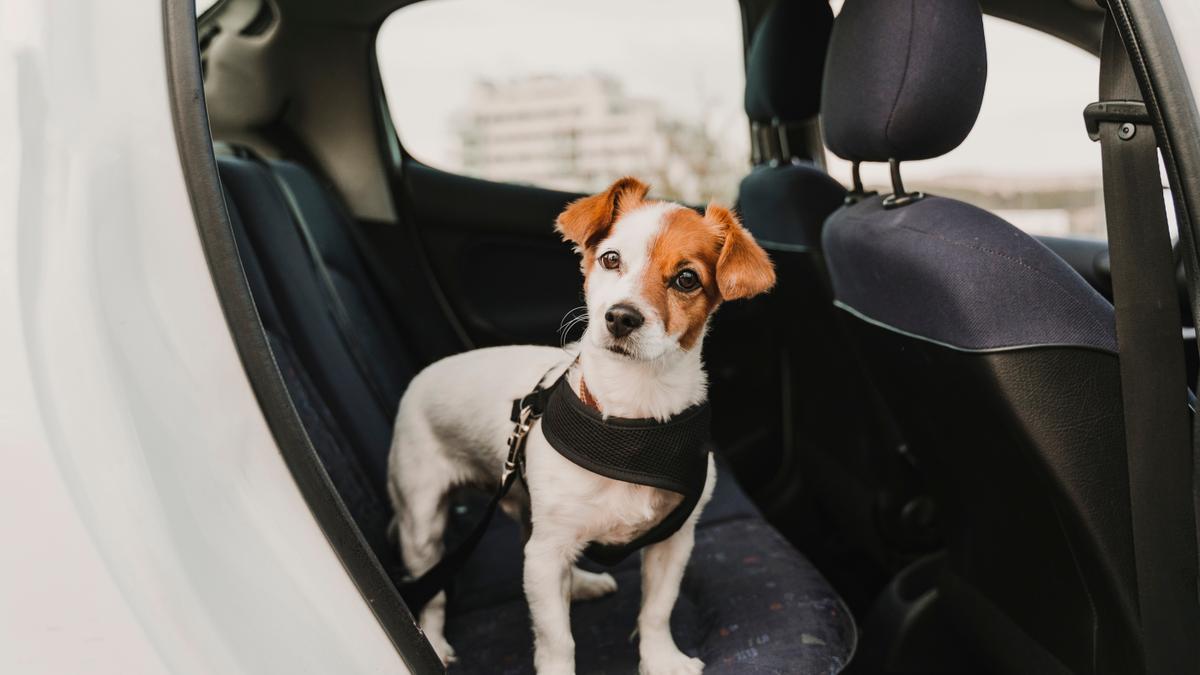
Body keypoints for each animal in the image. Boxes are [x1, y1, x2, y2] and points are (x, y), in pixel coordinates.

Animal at [388, 177, 772, 672]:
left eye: (687, 278)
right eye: (610, 258)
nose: (621, 316)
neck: (631, 420)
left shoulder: (673, 541)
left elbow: (657, 609)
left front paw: (661, 659)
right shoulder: (547, 554)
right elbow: (558, 640)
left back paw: (582, 583)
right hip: (423, 524)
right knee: (432, 593)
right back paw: (433, 642)